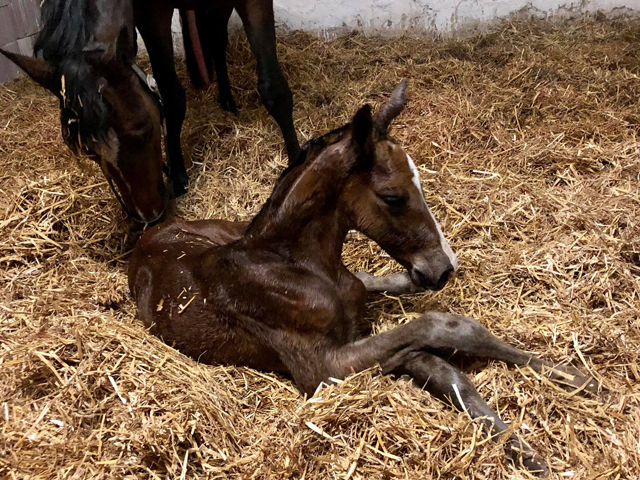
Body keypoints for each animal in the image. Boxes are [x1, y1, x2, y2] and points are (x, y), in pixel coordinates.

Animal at [127, 80, 596, 474]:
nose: (442, 268)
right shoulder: (323, 371)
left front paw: (574, 385)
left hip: (228, 228)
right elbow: (441, 333)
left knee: (370, 279)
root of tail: (152, 232)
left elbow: (441, 364)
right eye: (393, 196)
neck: (298, 265)